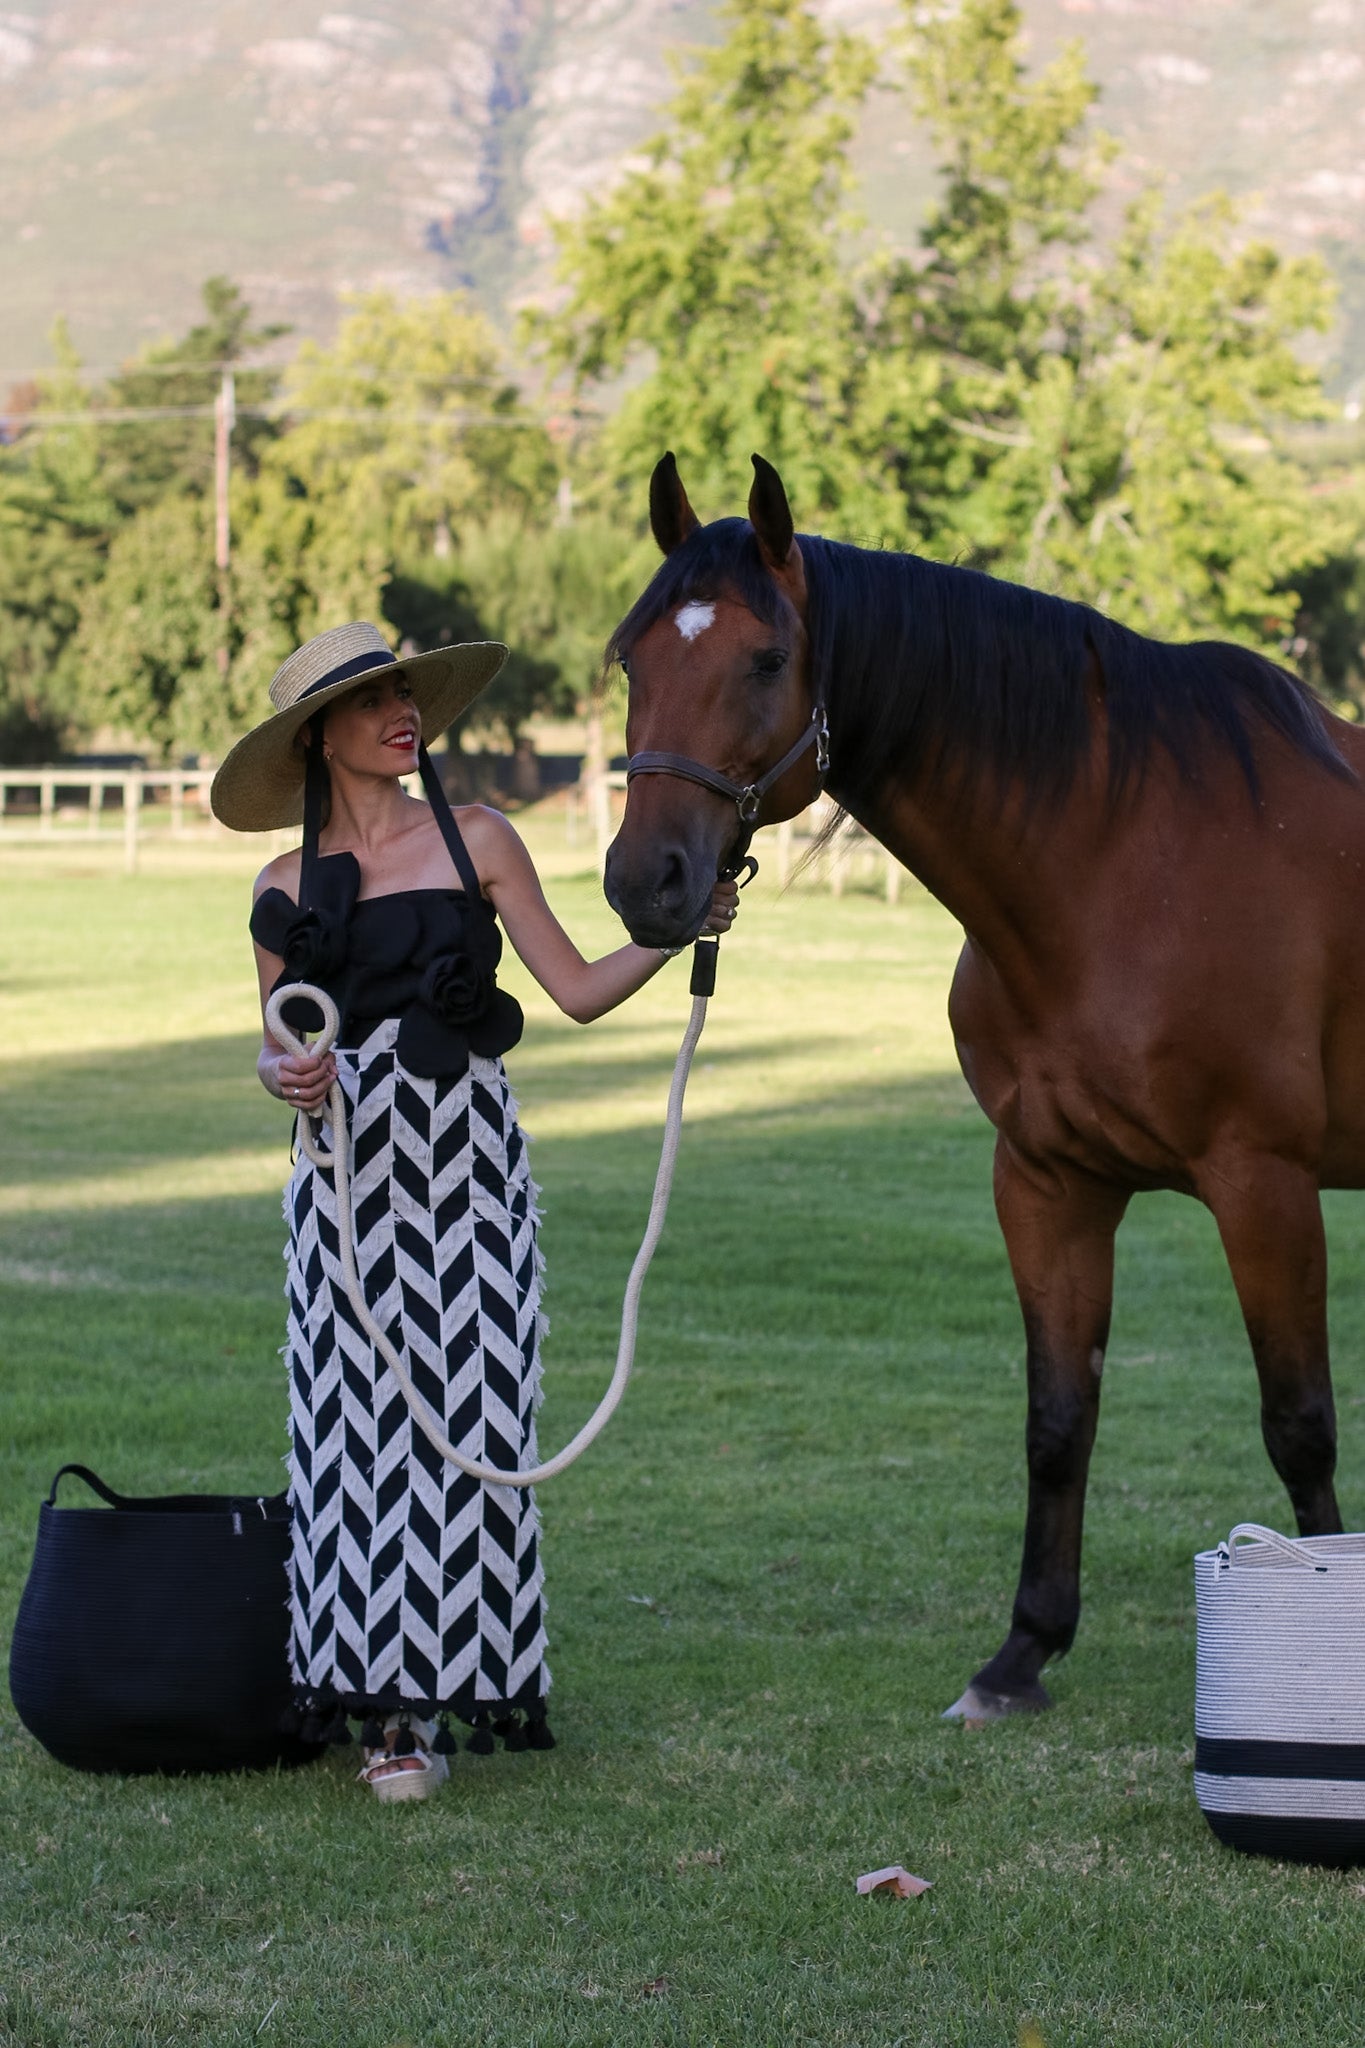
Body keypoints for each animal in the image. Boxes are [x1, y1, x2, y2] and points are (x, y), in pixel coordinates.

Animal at [601, 452, 1365, 1728]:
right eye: (632, 659)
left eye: (765, 658)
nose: (643, 881)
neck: (1121, 857)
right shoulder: (1048, 1182)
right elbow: (1058, 1419)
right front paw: (1022, 1652)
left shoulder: (1264, 1182)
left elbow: (1299, 1423)